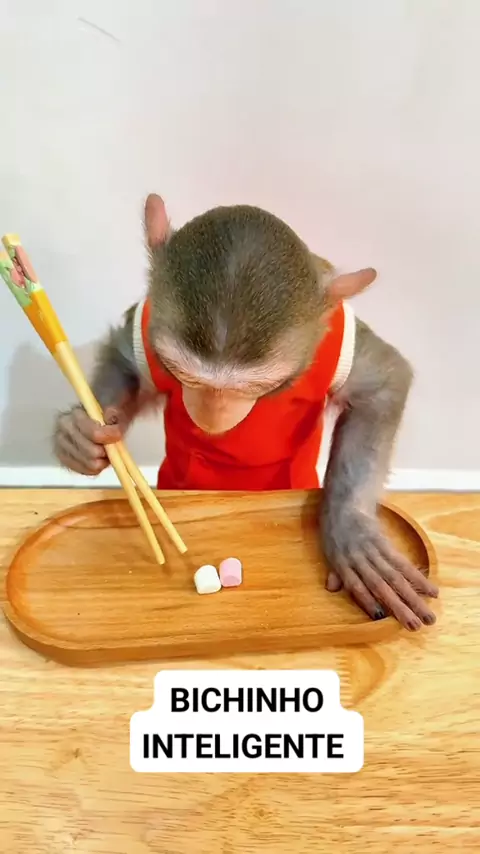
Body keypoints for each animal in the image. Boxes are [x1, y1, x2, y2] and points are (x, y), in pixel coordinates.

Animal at [53, 194, 438, 631]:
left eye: (253, 388)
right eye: (183, 374)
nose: (212, 416)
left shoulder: (336, 336)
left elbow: (384, 384)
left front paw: (349, 527)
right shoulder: (147, 324)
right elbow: (126, 364)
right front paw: (80, 437)